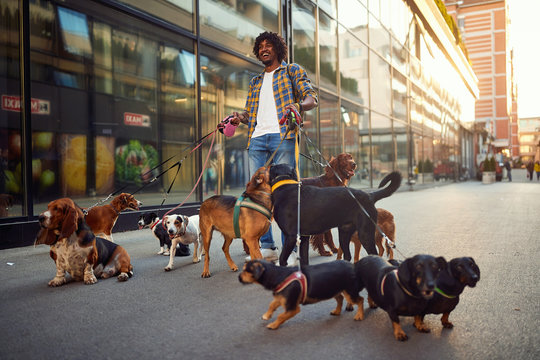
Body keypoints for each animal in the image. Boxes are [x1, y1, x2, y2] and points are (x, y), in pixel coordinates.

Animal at [270, 165, 400, 266]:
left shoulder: (291, 237)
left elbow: (282, 259)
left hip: (365, 235)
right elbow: (304, 261)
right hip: (344, 234)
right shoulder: (304, 237)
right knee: (347, 256)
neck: (286, 187)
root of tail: (370, 195)